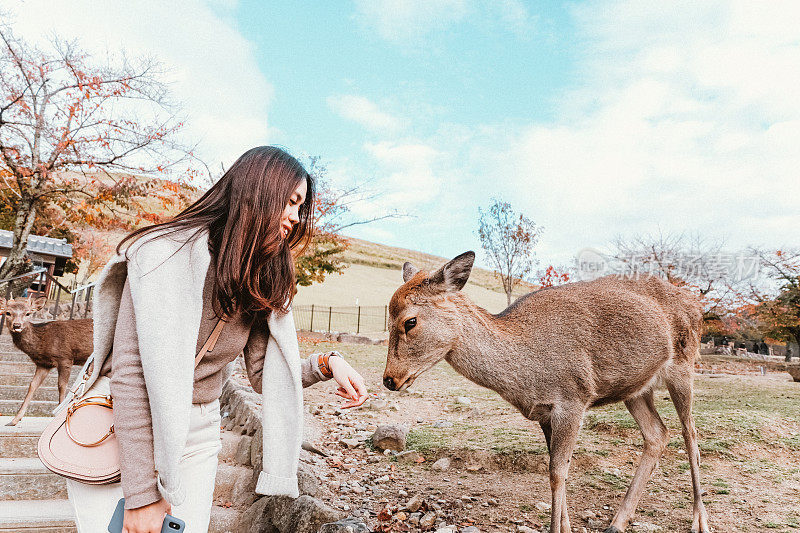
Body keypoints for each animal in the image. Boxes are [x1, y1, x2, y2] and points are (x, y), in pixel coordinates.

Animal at [2, 296, 92, 424]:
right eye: (8, 313)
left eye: (28, 313)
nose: (17, 325)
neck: (42, 342)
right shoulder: (43, 364)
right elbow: (32, 385)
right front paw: (15, 420)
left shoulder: (65, 358)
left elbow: (62, 386)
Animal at [384, 252, 708, 532]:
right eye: (387, 319)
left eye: (410, 321)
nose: (389, 379)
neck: (527, 374)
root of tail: (695, 305)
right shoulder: (543, 412)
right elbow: (555, 468)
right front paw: (566, 527)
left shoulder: (574, 398)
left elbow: (557, 472)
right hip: (636, 389)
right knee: (658, 433)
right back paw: (617, 523)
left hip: (684, 365)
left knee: (690, 433)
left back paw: (699, 521)